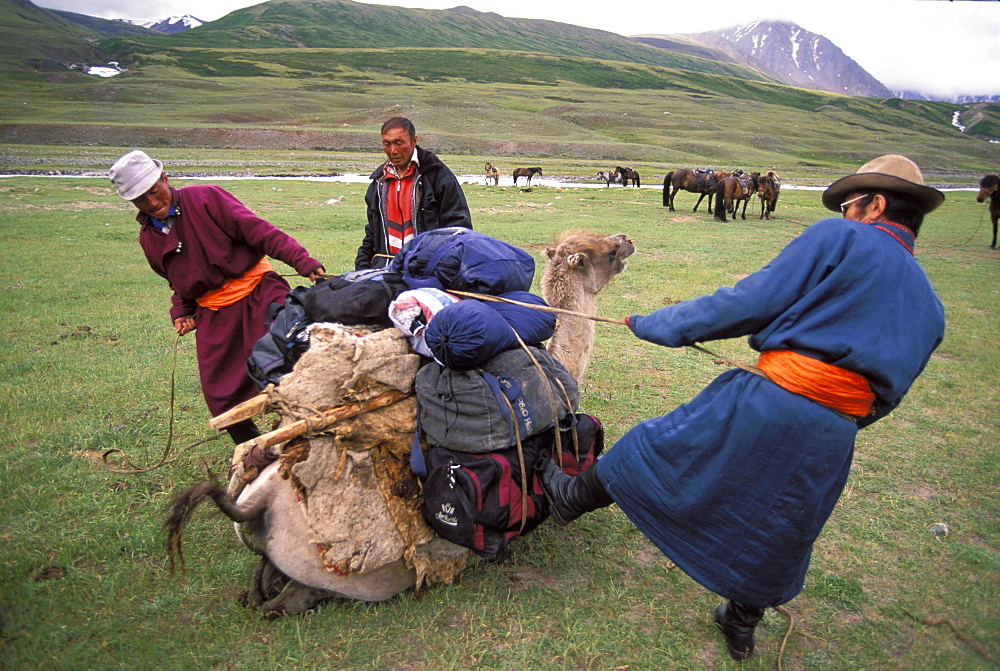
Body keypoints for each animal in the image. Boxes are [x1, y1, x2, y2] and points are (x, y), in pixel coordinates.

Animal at [163, 234, 632, 616]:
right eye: (602, 253)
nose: (626, 240)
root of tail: (259, 507)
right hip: (339, 575)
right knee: (284, 602)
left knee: (259, 583)